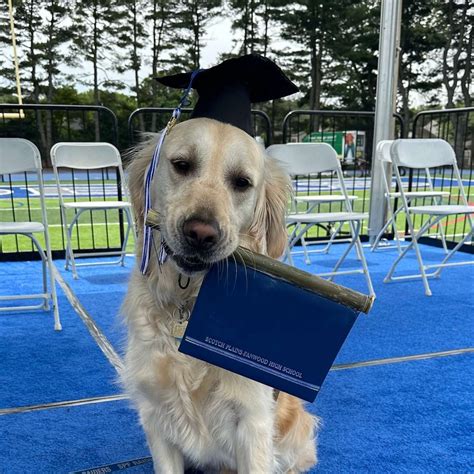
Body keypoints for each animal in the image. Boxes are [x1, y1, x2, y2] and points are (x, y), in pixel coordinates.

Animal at [122, 115, 318, 474]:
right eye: (181, 165)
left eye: (242, 182)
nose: (200, 233)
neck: (191, 301)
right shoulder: (155, 416)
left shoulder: (253, 421)